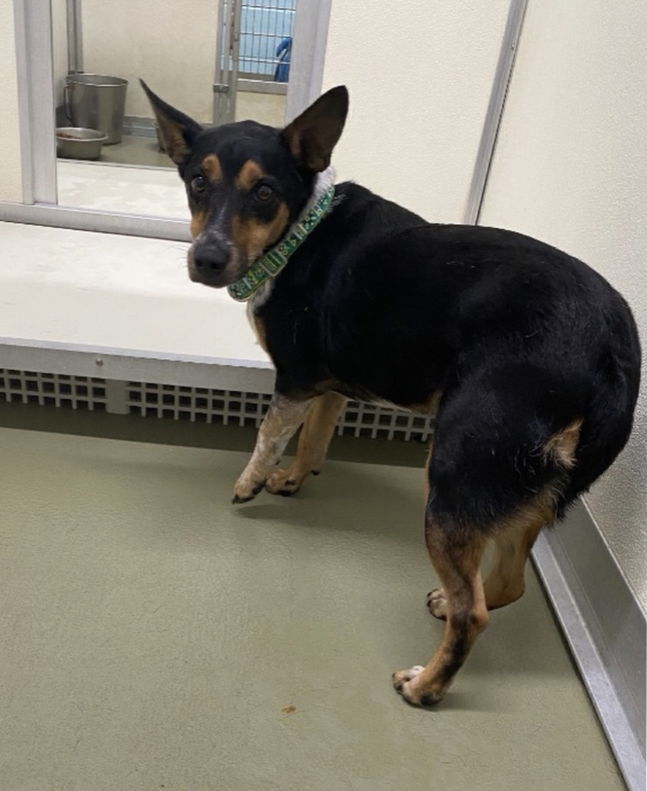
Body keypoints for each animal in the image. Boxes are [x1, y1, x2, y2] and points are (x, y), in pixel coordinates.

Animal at [143, 83, 644, 708]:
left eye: (264, 191)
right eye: (196, 181)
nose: (206, 259)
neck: (300, 232)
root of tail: (614, 350)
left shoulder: (295, 378)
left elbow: (269, 435)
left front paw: (250, 483)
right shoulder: (330, 383)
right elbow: (313, 441)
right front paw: (291, 480)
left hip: (456, 468)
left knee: (475, 611)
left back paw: (427, 686)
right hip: (524, 485)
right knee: (506, 583)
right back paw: (447, 606)